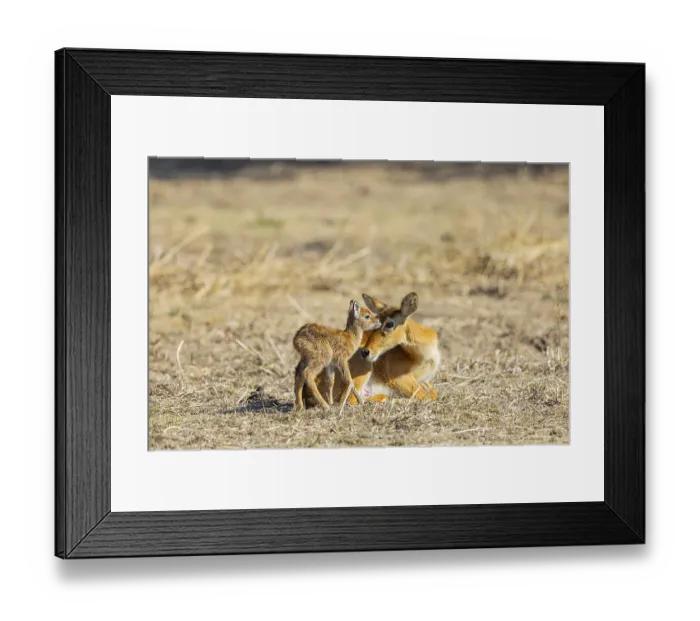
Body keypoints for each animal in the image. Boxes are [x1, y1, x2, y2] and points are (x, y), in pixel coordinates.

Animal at [303, 292, 440, 407]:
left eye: (389, 323)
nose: (365, 351)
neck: (422, 357)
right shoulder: (400, 379)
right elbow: (426, 396)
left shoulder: (424, 381)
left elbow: (433, 394)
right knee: (350, 400)